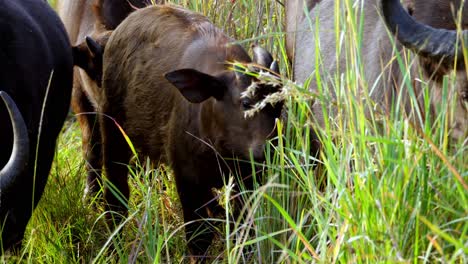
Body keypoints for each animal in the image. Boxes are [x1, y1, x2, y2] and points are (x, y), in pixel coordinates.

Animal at [97, 4, 284, 260]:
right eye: (246, 103)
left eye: (279, 103)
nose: (270, 149)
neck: (219, 147)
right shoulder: (187, 179)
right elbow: (199, 235)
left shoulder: (246, 180)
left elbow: (243, 228)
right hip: (113, 132)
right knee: (116, 195)